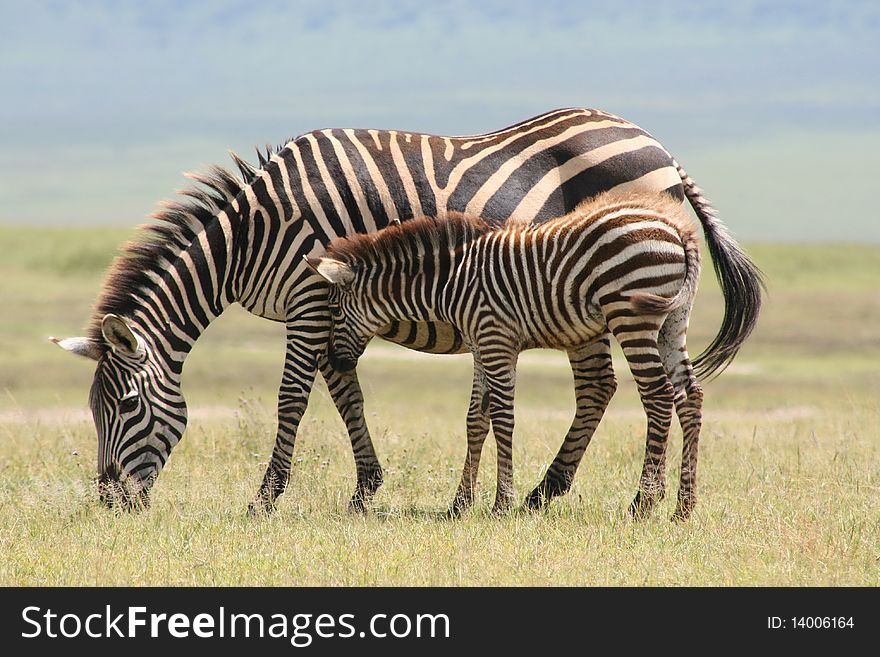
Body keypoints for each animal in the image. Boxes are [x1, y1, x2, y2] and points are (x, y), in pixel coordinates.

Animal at [308, 190, 748, 516]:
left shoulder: (496, 339)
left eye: (333, 311)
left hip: (632, 315)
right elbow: (476, 418)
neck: (451, 281)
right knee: (690, 396)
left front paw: (501, 503)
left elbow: (503, 417)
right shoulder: (481, 344)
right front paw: (460, 505)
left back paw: (643, 503)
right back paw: (684, 506)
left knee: (658, 398)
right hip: (673, 320)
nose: (335, 361)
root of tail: (679, 227)